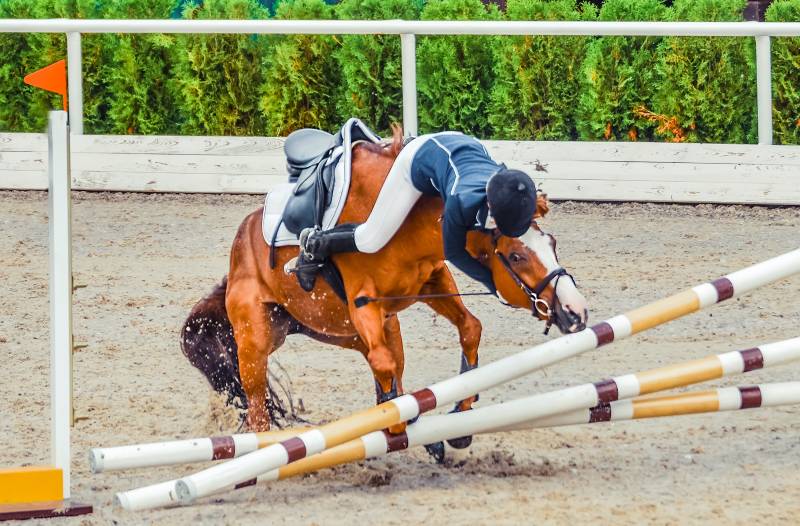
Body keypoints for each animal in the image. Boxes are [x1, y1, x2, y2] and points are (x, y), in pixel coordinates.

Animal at [181, 125, 589, 439]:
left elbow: (468, 329)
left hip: (341, 329)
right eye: (517, 256)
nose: (576, 312)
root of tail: (238, 250)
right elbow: (386, 365)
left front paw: (462, 409)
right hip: (256, 342)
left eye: (552, 243)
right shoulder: (365, 302)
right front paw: (404, 426)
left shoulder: (430, 281)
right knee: (257, 407)